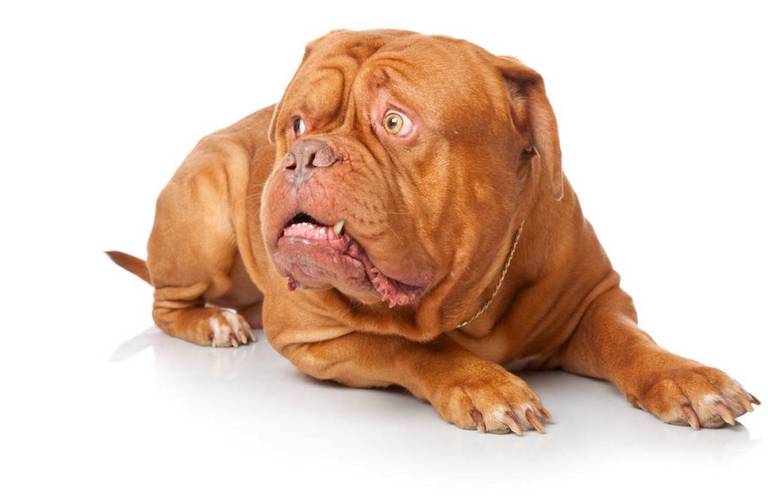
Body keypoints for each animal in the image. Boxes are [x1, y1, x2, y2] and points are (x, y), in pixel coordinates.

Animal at [108, 29, 758, 433]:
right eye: (296, 123)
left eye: (396, 123)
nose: (304, 155)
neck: (471, 304)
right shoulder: (313, 338)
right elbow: (409, 346)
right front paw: (481, 383)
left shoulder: (596, 300)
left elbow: (631, 342)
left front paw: (687, 377)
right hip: (208, 198)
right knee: (167, 304)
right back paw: (213, 321)